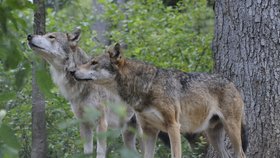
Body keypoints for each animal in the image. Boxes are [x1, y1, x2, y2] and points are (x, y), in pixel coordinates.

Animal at [26, 29, 138, 157]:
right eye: (46, 35)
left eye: (51, 37)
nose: (29, 36)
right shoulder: (84, 124)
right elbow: (87, 152)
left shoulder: (101, 123)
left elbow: (100, 152)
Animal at [72, 43, 249, 158]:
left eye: (94, 63)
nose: (72, 71)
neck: (146, 86)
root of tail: (232, 83)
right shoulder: (148, 130)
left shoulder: (173, 126)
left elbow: (175, 154)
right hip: (213, 135)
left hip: (231, 129)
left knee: (241, 154)